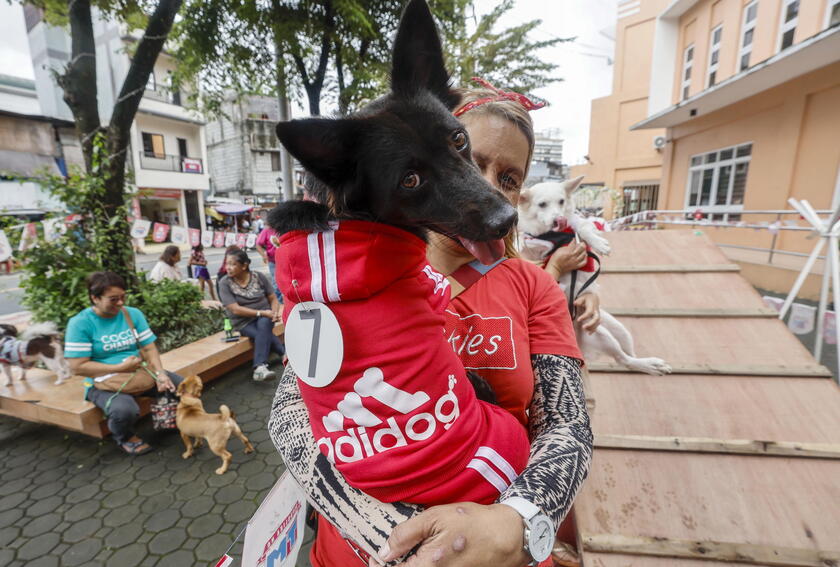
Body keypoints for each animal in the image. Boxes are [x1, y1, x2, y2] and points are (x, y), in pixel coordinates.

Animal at [520, 175, 668, 374]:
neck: (551, 234)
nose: (560, 219)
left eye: (561, 201)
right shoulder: (535, 240)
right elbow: (527, 241)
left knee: (626, 358)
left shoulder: (577, 224)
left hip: (606, 332)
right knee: (624, 360)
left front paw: (598, 243)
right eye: (542, 204)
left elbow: (583, 228)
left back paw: (650, 364)